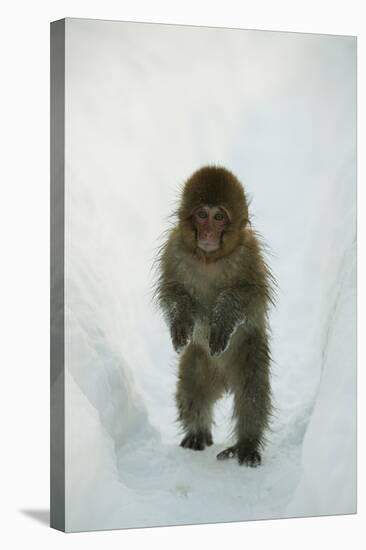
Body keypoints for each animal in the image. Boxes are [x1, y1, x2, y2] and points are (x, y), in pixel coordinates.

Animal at [154, 166, 274, 468]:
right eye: (201, 214)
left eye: (219, 217)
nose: (208, 231)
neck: (210, 258)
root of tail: (223, 380)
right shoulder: (173, 248)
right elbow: (172, 292)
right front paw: (181, 320)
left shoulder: (249, 254)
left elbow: (250, 296)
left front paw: (222, 321)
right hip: (198, 361)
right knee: (192, 389)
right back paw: (197, 432)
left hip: (248, 352)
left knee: (252, 390)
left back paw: (246, 443)